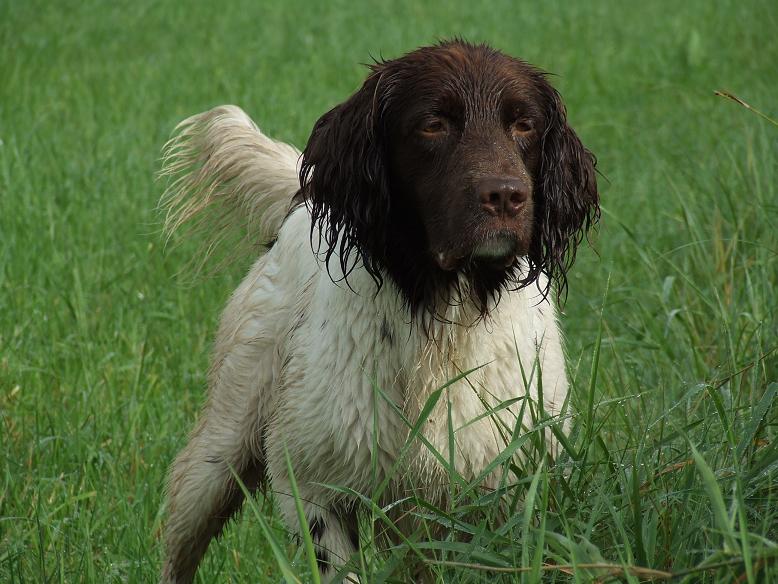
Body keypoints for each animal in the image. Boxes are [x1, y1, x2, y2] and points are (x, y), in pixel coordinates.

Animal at [156, 38, 596, 580]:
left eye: (524, 125)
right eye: (433, 124)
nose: (507, 196)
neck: (442, 317)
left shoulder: (509, 486)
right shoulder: (313, 480)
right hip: (221, 448)